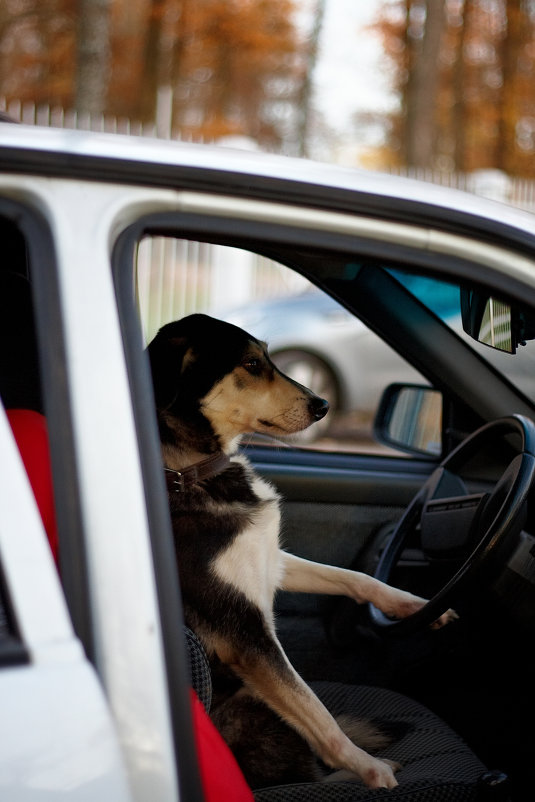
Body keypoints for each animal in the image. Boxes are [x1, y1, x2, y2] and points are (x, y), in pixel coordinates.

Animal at [148, 312, 456, 788]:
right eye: (252, 364)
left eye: (268, 356)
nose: (323, 405)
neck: (188, 472)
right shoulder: (247, 634)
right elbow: (315, 708)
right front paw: (367, 767)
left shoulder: (268, 561)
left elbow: (355, 578)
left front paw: (416, 605)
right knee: (304, 768)